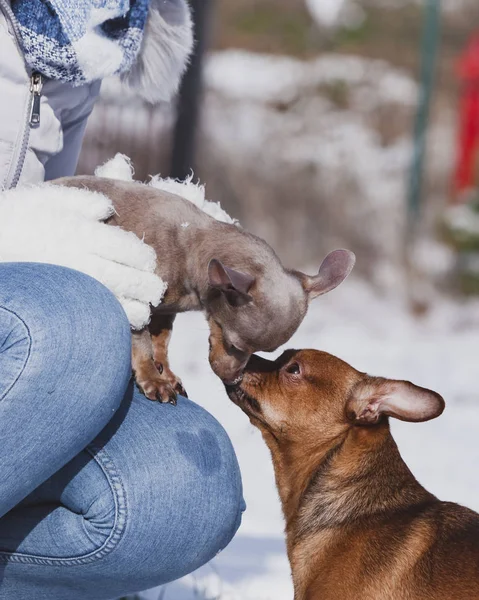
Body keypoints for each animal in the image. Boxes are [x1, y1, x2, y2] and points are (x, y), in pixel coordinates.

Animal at [52, 176, 356, 406]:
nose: (233, 379)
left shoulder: (165, 312)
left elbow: (161, 342)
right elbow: (143, 344)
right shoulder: (137, 303)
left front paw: (166, 372)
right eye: (234, 345)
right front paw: (153, 379)